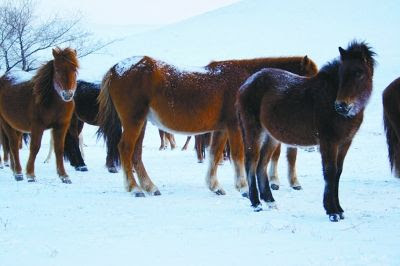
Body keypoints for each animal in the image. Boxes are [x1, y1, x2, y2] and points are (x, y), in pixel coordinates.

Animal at [0, 46, 79, 182]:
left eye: (74, 69)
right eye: (57, 70)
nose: (67, 94)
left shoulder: (61, 126)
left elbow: (59, 149)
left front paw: (63, 175)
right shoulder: (38, 126)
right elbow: (35, 147)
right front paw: (30, 174)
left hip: (17, 126)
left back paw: (14, 170)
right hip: (5, 123)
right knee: (13, 145)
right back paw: (18, 173)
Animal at [97, 55, 318, 196]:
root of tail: (117, 68)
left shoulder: (220, 130)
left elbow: (215, 155)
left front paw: (215, 186)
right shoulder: (234, 127)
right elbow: (238, 155)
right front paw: (243, 187)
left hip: (140, 123)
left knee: (135, 154)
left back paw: (149, 187)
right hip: (134, 121)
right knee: (125, 149)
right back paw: (134, 188)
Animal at [239, 41, 376, 220]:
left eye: (359, 73)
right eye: (341, 73)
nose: (341, 105)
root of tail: (246, 84)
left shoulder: (345, 143)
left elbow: (338, 173)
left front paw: (339, 210)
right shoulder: (328, 142)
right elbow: (330, 172)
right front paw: (332, 212)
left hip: (271, 137)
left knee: (262, 164)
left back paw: (270, 201)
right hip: (254, 131)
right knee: (252, 162)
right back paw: (256, 203)